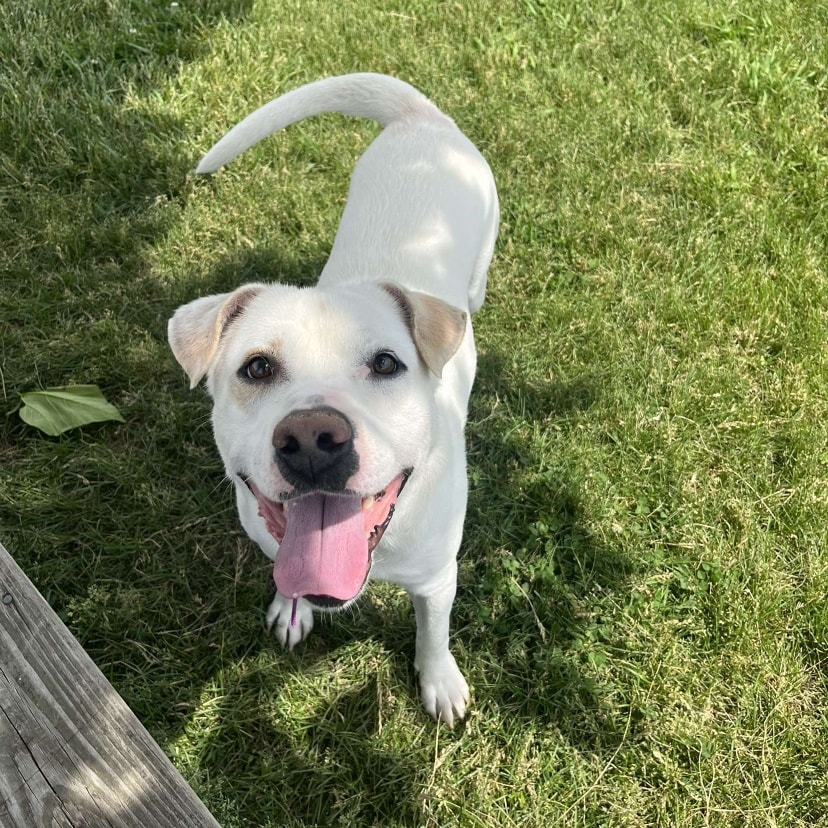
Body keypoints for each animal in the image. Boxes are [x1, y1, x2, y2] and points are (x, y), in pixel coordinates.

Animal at [170, 76, 498, 724]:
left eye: (387, 363)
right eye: (257, 367)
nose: (311, 439)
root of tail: (421, 116)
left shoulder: (437, 578)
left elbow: (433, 630)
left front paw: (439, 679)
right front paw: (291, 606)